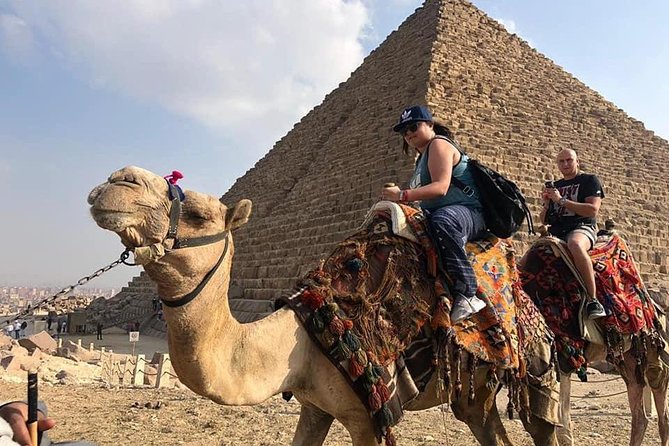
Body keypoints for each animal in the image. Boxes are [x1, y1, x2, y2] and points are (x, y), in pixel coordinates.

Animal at [88, 166, 558, 446]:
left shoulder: (370, 417)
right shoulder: (314, 408)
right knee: (487, 424)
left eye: (201, 215)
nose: (118, 179)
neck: (300, 337)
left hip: (537, 366)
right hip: (477, 391)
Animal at [520, 239, 669, 446]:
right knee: (639, 404)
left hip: (649, 341)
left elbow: (560, 427)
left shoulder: (564, 357)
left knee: (658, 382)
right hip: (627, 356)